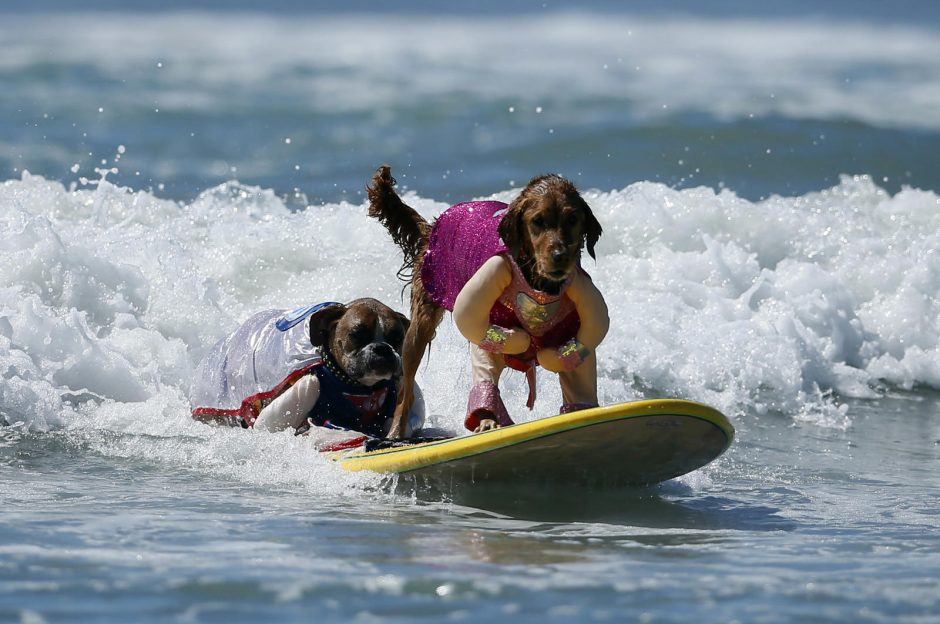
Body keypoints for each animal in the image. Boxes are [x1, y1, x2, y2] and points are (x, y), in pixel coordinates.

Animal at [364, 166, 604, 438]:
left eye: (572, 219)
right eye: (538, 221)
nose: (560, 256)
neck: (536, 283)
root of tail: (432, 228)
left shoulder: (572, 333)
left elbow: (576, 368)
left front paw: (583, 413)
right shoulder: (490, 328)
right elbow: (486, 371)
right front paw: (487, 420)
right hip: (420, 325)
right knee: (405, 390)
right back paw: (395, 434)